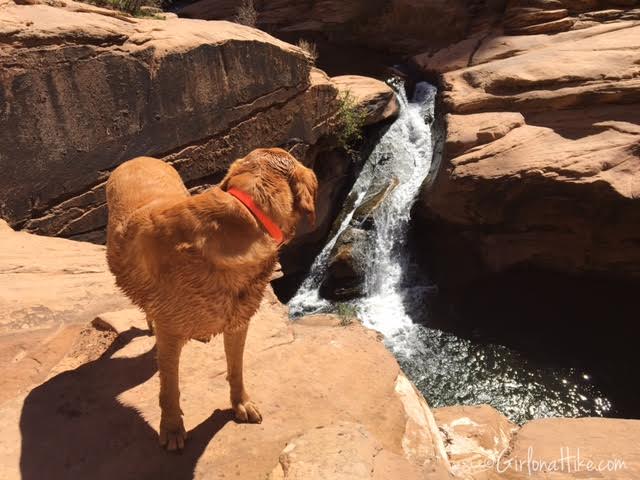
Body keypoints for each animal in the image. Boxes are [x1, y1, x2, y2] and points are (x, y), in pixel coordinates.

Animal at [106, 149, 318, 450]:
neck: (247, 215)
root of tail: (137, 158)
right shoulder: (170, 334)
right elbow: (170, 388)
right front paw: (172, 427)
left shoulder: (238, 321)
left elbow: (236, 368)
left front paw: (240, 403)